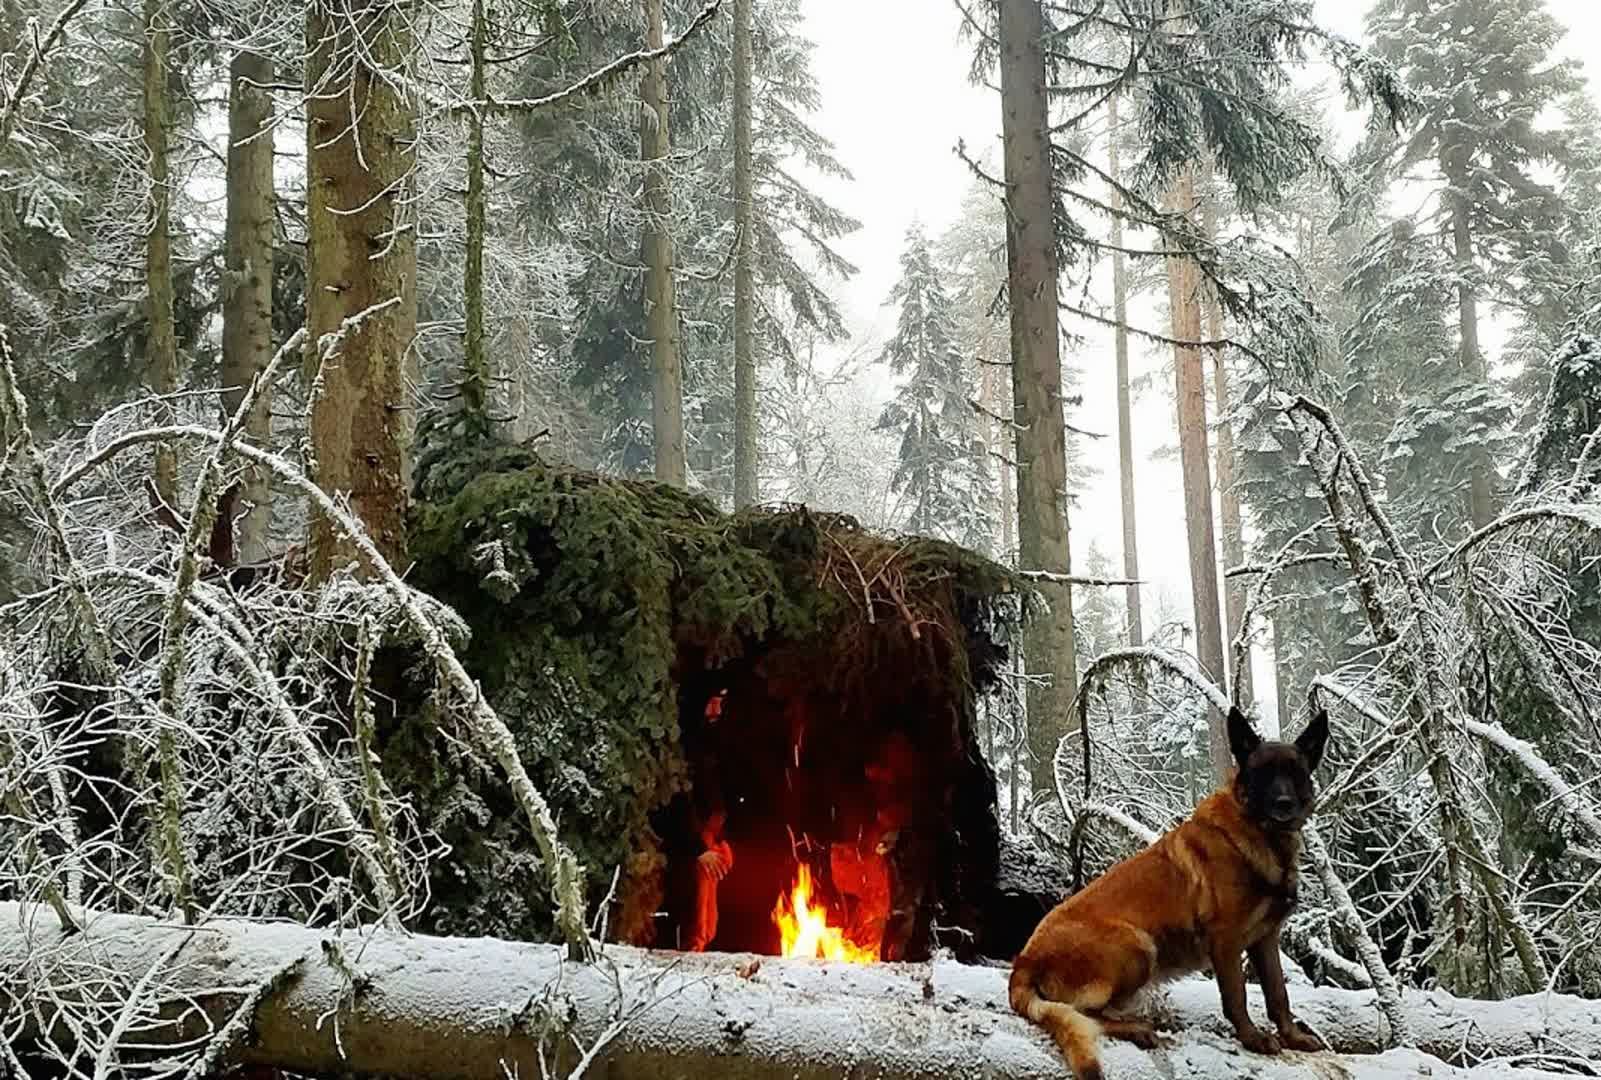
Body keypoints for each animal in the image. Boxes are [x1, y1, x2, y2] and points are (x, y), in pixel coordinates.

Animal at [1005, 704, 1332, 1075]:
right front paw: (1252, 1038)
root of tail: (1024, 961)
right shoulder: (1226, 940)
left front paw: (1292, 1036)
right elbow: (1237, 996)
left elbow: (1278, 994)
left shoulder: (1266, 939)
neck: (1261, 836)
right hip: (1138, 944)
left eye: (1295, 773)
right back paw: (1136, 1028)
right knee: (1085, 1014)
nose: (1283, 804)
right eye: (1262, 774)